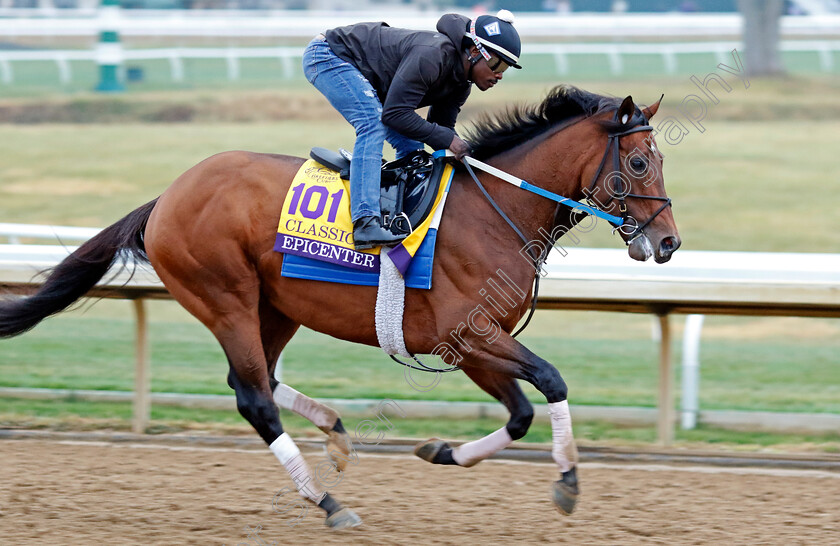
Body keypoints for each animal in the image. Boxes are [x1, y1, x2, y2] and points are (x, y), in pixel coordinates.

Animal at [0, 85, 680, 528]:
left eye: (658, 159)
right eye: (638, 161)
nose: (669, 243)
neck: (495, 211)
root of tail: (167, 196)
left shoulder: (467, 344)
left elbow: (519, 413)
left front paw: (442, 450)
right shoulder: (471, 331)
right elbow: (552, 380)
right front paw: (567, 479)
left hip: (275, 306)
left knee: (256, 378)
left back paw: (333, 431)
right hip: (223, 296)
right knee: (253, 397)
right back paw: (325, 501)